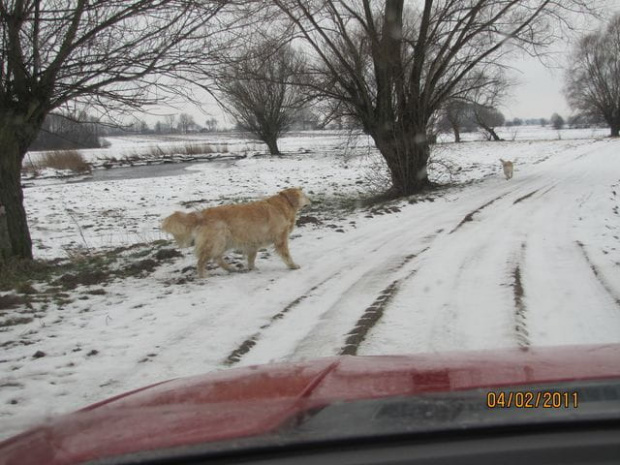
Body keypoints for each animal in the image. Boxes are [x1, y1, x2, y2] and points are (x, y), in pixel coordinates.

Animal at [163, 187, 312, 278]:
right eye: (304, 196)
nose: (310, 201)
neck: (282, 205)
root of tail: (201, 214)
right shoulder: (280, 238)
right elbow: (286, 255)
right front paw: (293, 266)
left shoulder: (253, 241)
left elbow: (252, 257)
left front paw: (252, 268)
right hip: (217, 240)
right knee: (202, 260)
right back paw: (203, 276)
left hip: (224, 241)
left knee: (217, 258)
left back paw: (230, 269)